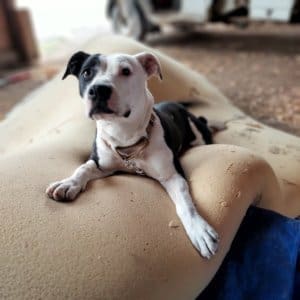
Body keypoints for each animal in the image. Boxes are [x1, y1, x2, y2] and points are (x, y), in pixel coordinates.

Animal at [47, 51, 220, 258]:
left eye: (126, 71)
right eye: (87, 72)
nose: (99, 89)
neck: (124, 135)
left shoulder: (172, 176)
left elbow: (186, 203)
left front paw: (199, 230)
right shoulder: (100, 163)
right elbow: (83, 168)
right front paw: (68, 183)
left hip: (196, 130)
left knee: (203, 123)